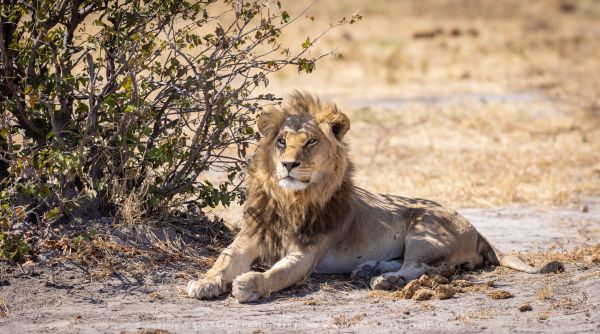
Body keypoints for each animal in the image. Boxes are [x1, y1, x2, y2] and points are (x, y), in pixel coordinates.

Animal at [188, 91, 564, 302]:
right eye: (281, 141)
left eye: (310, 142)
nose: (288, 164)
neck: (290, 200)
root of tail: (477, 229)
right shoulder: (247, 240)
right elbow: (221, 261)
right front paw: (203, 283)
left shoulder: (305, 256)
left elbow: (276, 275)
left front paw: (249, 284)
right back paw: (368, 269)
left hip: (424, 228)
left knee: (422, 267)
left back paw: (384, 279)